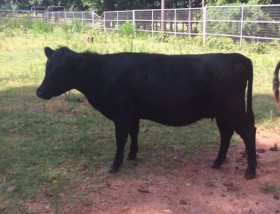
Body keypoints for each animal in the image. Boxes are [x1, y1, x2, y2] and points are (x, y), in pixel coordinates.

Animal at [37, 46, 258, 179]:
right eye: (48, 67)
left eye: (61, 70)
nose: (39, 91)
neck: (102, 74)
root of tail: (234, 57)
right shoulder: (133, 113)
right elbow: (133, 133)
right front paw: (132, 155)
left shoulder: (121, 112)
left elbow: (120, 138)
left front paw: (115, 165)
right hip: (222, 112)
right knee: (226, 134)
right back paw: (217, 162)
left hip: (233, 109)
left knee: (248, 132)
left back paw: (250, 170)